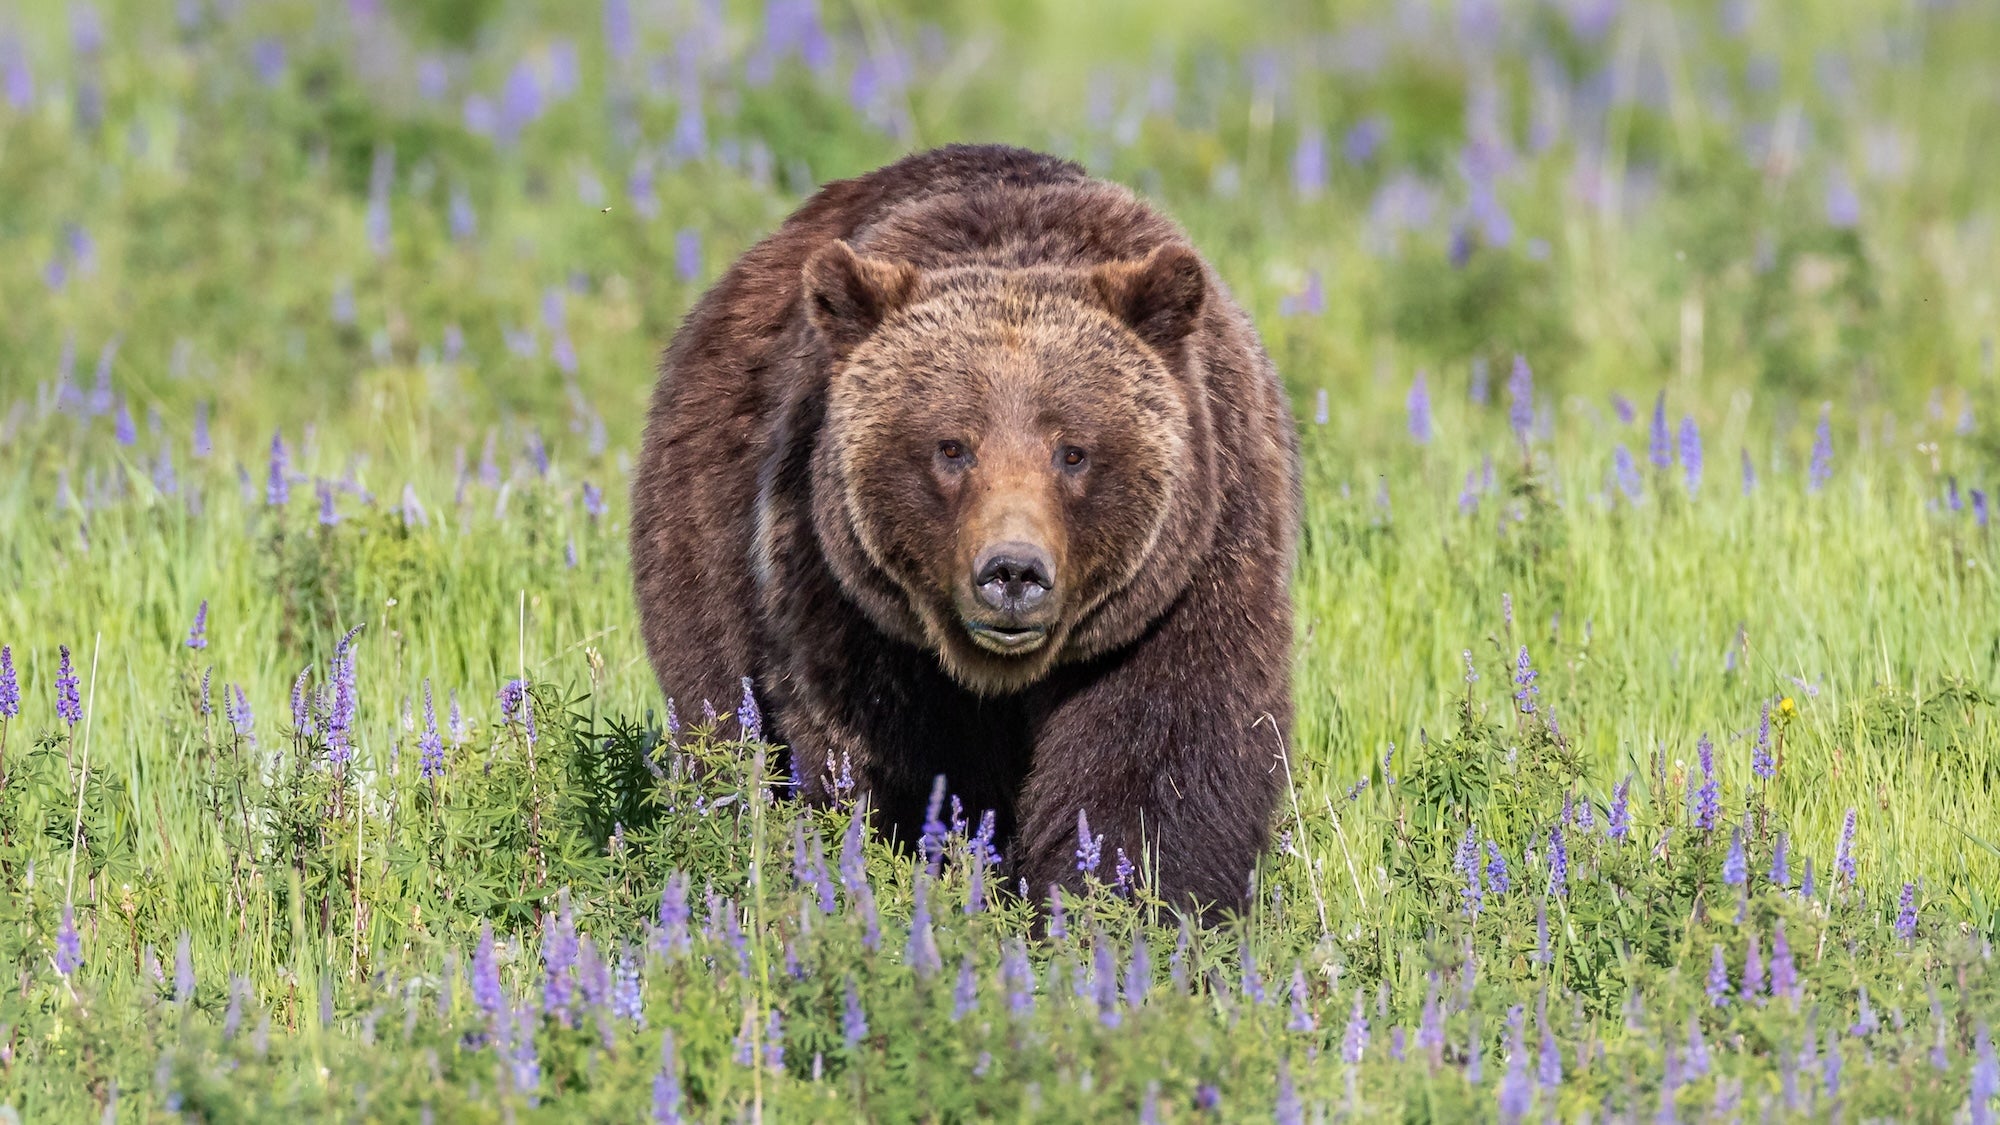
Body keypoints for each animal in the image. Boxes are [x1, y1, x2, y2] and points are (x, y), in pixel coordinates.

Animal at [629, 143, 1301, 915]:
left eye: (1073, 451)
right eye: (952, 447)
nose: (1013, 572)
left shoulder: (1185, 579)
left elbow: (1161, 757)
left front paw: (1128, 903)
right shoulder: (850, 603)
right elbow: (895, 760)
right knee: (715, 702)